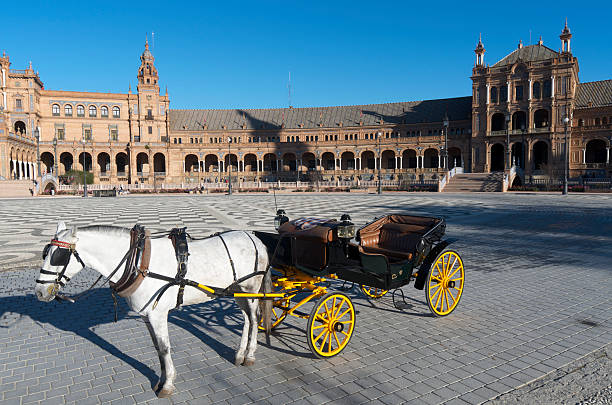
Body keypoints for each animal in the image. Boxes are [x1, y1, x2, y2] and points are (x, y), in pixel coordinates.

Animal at [34, 221, 272, 394]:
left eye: (59, 256)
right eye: (45, 253)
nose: (39, 292)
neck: (139, 261)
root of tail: (255, 239)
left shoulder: (158, 314)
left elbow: (165, 348)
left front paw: (167, 385)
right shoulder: (147, 316)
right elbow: (158, 349)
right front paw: (160, 379)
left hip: (251, 289)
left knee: (254, 318)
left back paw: (250, 355)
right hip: (237, 290)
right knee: (246, 318)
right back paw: (240, 353)